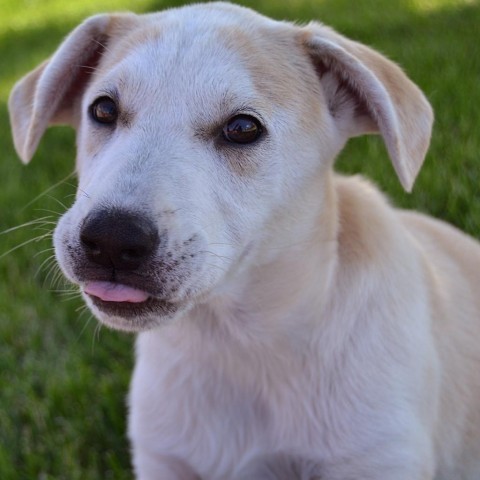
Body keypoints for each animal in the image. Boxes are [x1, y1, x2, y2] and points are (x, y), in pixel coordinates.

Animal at [6, 1, 480, 478]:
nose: (110, 239)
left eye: (242, 128)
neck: (235, 344)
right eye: (103, 109)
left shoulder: (376, 457)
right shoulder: (164, 458)